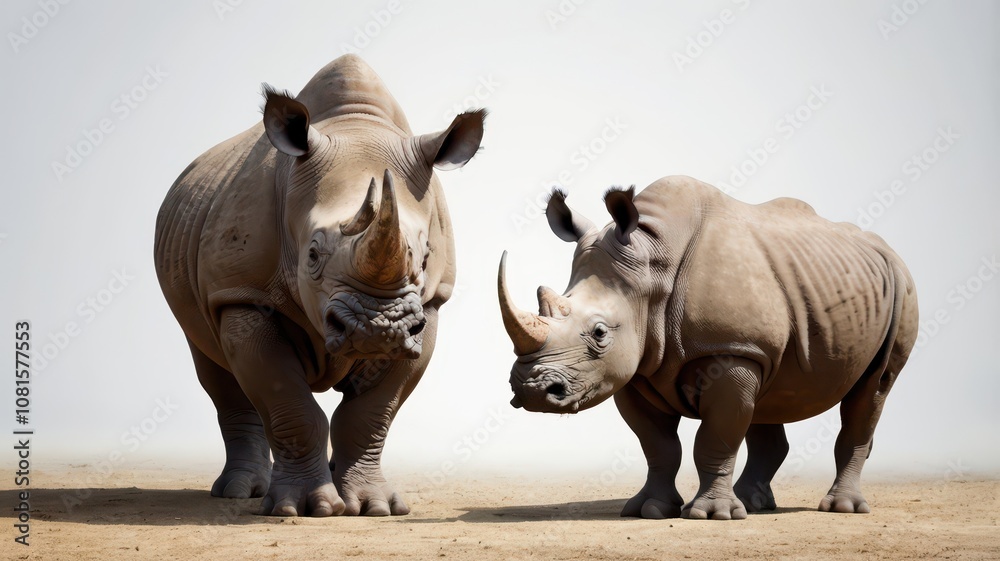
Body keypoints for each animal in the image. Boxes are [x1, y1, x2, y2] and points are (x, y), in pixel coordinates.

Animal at [154, 55, 485, 516]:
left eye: (424, 258)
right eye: (311, 255)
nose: (378, 329)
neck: (356, 126)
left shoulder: (430, 305)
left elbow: (372, 414)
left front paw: (374, 508)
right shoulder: (242, 293)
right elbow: (290, 403)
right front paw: (303, 509)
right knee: (214, 367)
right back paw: (239, 493)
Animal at [498, 176, 917, 519]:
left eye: (600, 332)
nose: (532, 390)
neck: (653, 264)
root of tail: (885, 249)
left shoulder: (730, 348)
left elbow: (716, 436)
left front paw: (710, 515)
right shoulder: (639, 365)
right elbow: (658, 445)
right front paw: (648, 510)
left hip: (901, 286)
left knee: (874, 388)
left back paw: (842, 508)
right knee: (771, 393)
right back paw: (753, 504)